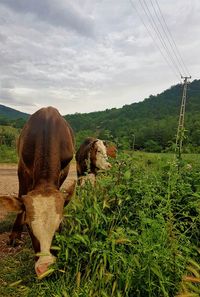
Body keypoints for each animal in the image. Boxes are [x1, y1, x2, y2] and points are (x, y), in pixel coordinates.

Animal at [0, 107, 75, 278]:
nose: (45, 268)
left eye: (60, 225)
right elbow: (21, 195)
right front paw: (15, 235)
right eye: (28, 225)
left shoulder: (65, 168)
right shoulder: (22, 166)